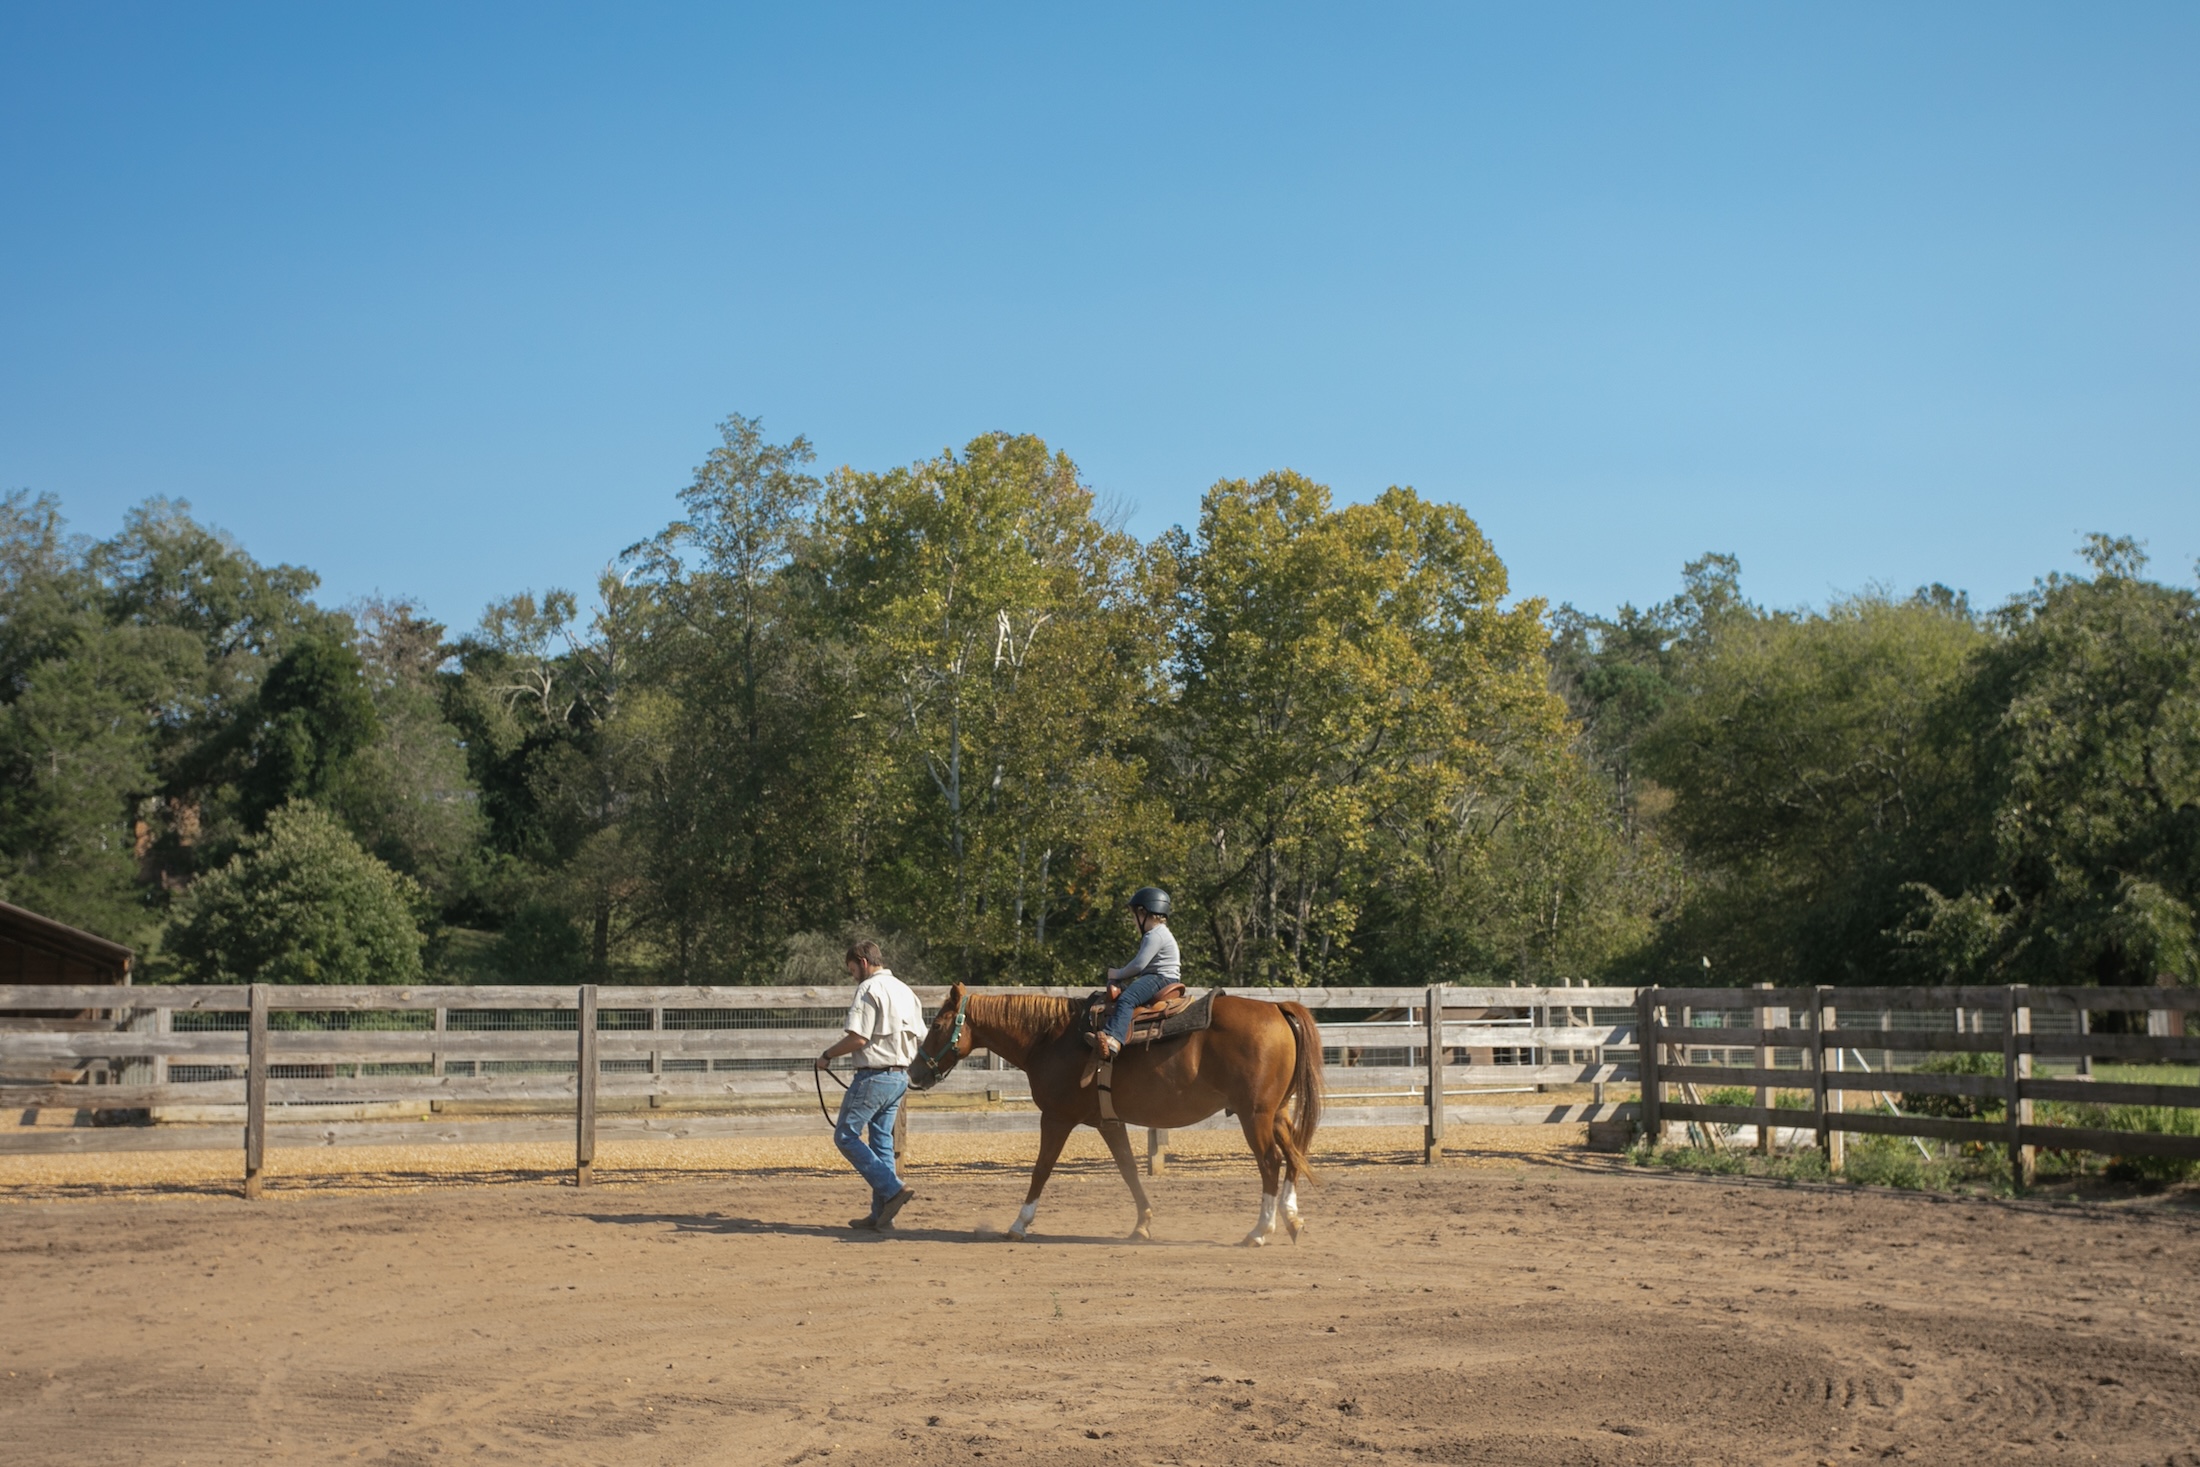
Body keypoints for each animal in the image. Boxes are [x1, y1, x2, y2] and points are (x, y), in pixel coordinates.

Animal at [906, 985, 1320, 1249]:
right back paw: (1293, 1220)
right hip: (1277, 1114)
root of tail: (1277, 1008)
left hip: (1255, 1116)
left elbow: (1041, 1169)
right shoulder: (1110, 1122)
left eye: (937, 1025)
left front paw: (1019, 1224)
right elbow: (1128, 1169)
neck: (1049, 1038)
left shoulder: (1055, 1118)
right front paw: (1143, 1224)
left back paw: (1259, 1231)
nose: (914, 1072)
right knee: (1294, 1158)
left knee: (1271, 1163)